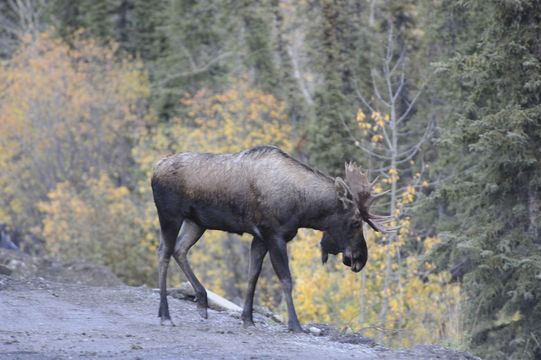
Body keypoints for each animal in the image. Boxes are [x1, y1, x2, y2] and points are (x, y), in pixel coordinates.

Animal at [150, 144, 390, 332]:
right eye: (356, 222)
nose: (361, 258)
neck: (303, 210)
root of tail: (154, 170)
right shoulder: (274, 234)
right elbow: (286, 279)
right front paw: (295, 325)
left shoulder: (260, 237)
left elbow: (253, 275)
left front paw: (248, 319)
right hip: (170, 215)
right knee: (164, 253)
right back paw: (165, 315)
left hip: (196, 222)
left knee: (180, 249)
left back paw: (201, 301)